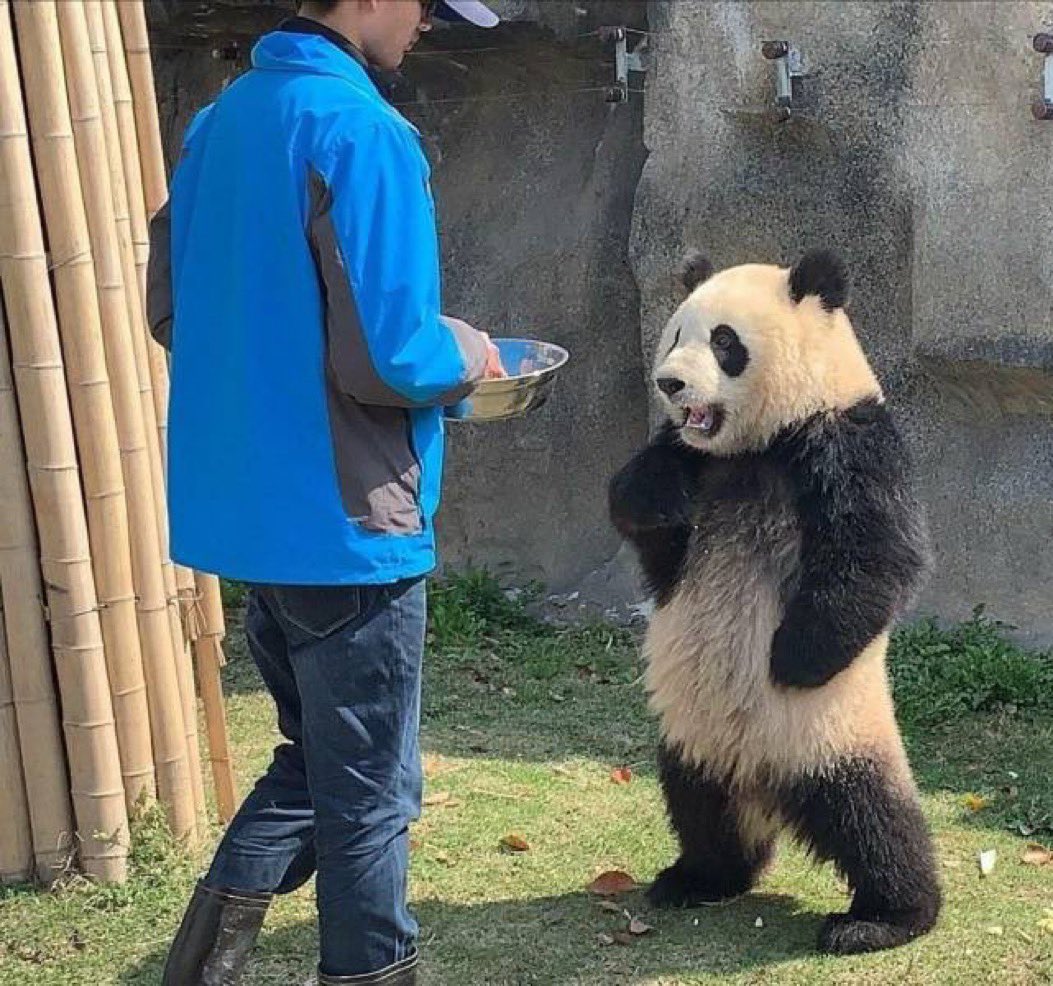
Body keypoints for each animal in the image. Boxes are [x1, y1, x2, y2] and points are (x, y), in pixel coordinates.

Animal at [614, 248, 943, 956]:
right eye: (675, 335)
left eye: (724, 342)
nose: (670, 385)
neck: (759, 443)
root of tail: (763, 780)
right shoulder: (697, 463)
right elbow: (655, 540)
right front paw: (659, 492)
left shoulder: (846, 437)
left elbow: (876, 554)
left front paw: (793, 657)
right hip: (692, 734)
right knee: (698, 805)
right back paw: (700, 878)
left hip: (832, 733)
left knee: (873, 819)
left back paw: (884, 918)